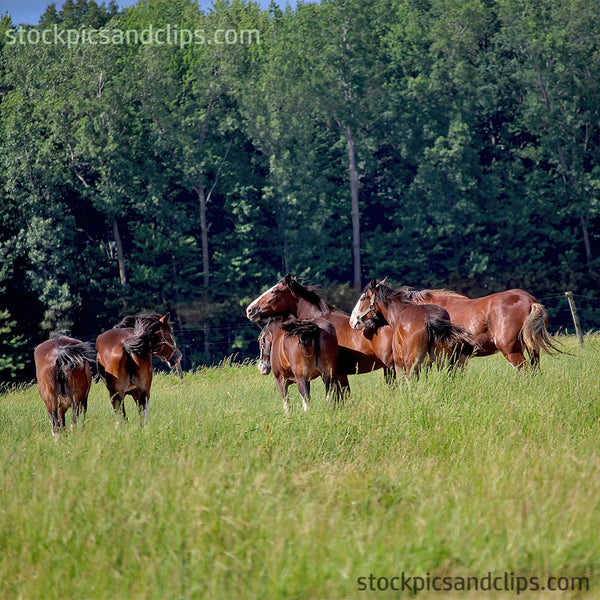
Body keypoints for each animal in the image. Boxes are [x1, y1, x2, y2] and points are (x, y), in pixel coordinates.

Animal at [346, 278, 478, 378]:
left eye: (362, 298)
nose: (352, 321)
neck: (400, 311)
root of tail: (429, 319)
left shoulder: (399, 364)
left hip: (412, 365)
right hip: (443, 362)